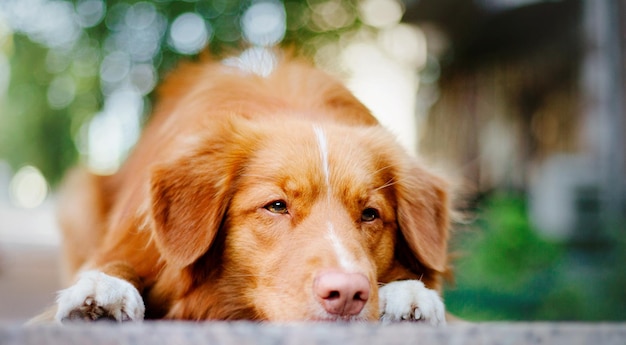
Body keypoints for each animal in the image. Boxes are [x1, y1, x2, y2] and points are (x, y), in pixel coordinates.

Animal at [48, 49, 448, 324]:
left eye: (369, 214)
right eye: (276, 206)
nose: (348, 294)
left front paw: (410, 293)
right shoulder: (134, 239)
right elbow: (116, 261)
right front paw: (104, 288)